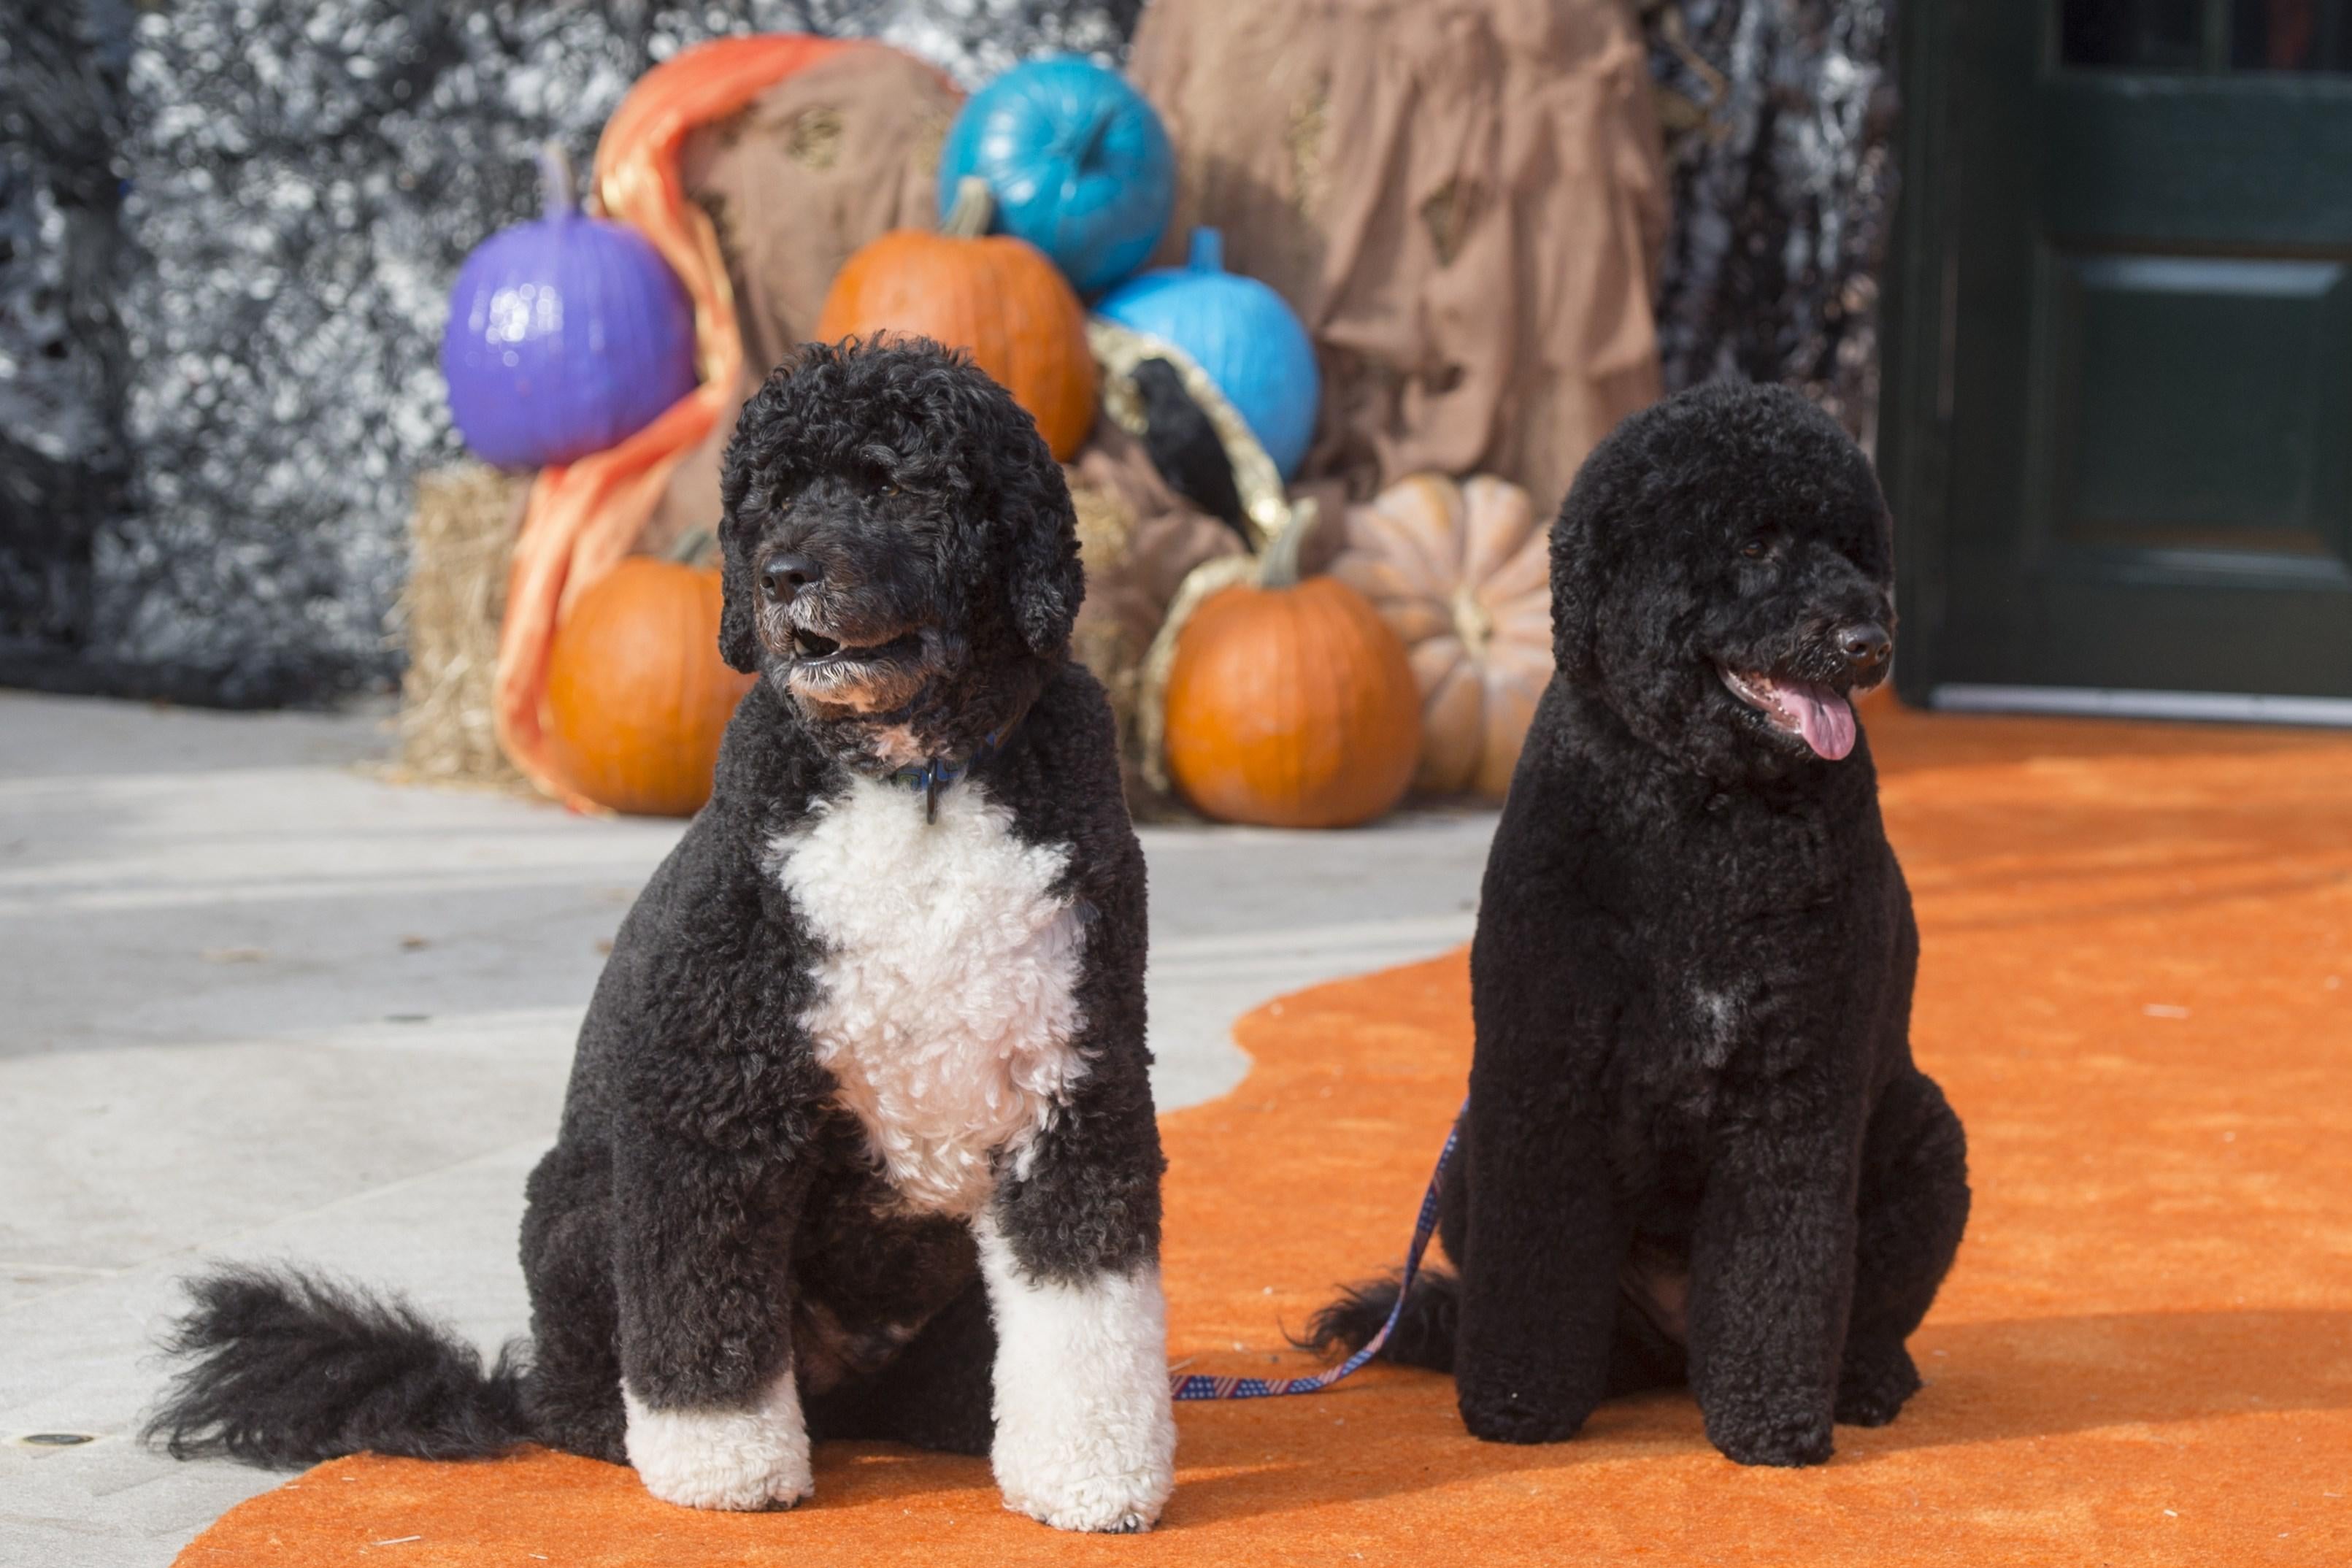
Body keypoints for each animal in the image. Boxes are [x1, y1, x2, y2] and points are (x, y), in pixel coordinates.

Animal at [149, 343, 1176, 1532]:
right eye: (768, 495)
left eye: (893, 483)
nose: (780, 575)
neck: (917, 785)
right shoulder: (709, 1099)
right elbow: (701, 1307)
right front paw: (722, 1465)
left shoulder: (1076, 1084)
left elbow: (1088, 1306)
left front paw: (1093, 1473)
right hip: (584, 1215)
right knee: (580, 1389)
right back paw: (619, 1426)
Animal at [1326, 383, 1966, 1476]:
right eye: (1752, 543)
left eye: (1853, 547)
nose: (1866, 642)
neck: (1700, 811)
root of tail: (1671, 1342)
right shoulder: (1539, 1079)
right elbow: (1536, 1269)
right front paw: (1518, 1403)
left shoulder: (1793, 1093)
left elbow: (1779, 1272)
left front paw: (1771, 1422)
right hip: (1468, 1158)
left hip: (1929, 1138)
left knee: (1870, 1313)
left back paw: (1864, 1380)